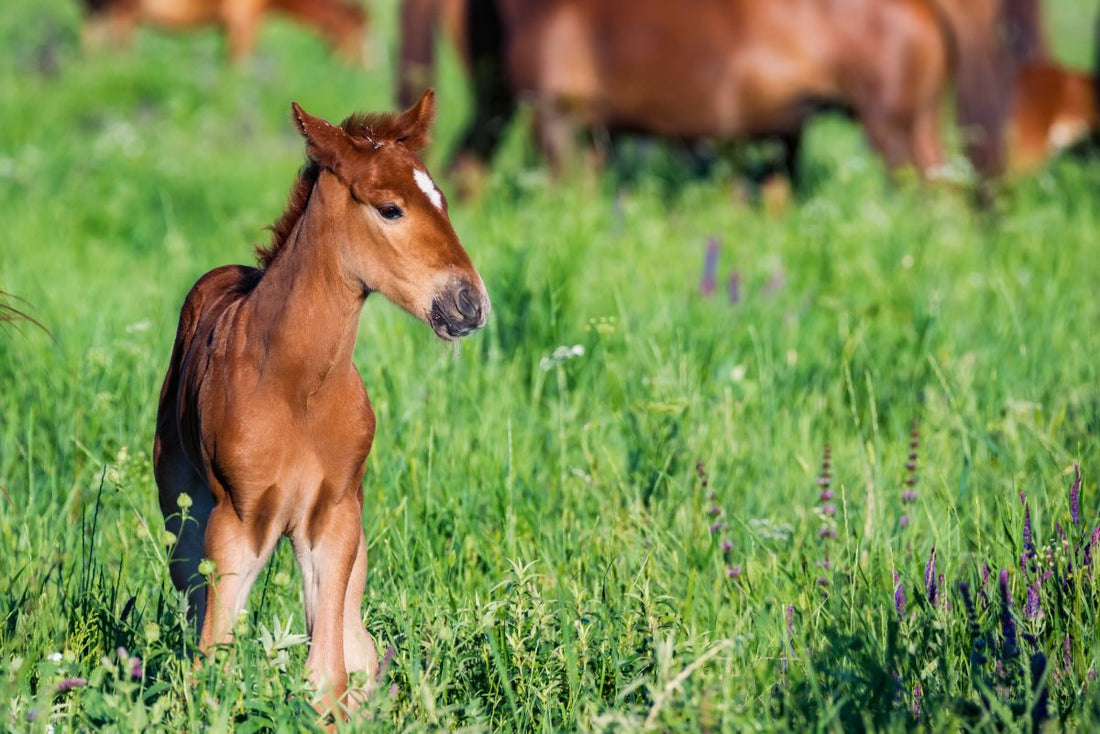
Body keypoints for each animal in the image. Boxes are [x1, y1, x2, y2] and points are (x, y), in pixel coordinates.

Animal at [152, 89, 490, 714]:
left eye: (443, 200)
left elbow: (328, 674)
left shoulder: (332, 521)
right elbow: (214, 659)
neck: (296, 386)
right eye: (390, 209)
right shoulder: (235, 523)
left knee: (357, 648)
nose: (468, 302)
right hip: (182, 515)